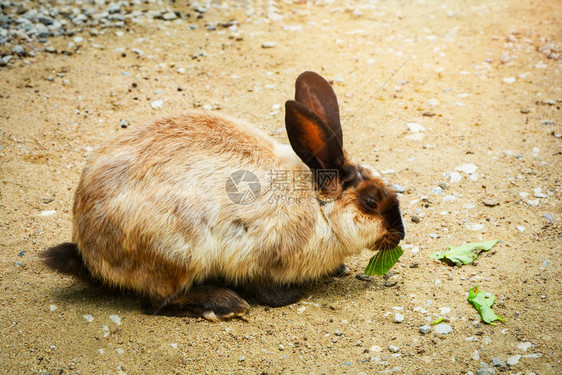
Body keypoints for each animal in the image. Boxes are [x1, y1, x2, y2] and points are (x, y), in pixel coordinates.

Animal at [42, 70, 402, 320]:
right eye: (371, 203)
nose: (399, 234)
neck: (318, 206)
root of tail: (88, 249)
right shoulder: (258, 256)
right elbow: (266, 289)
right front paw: (291, 296)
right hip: (177, 256)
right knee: (156, 301)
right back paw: (225, 303)